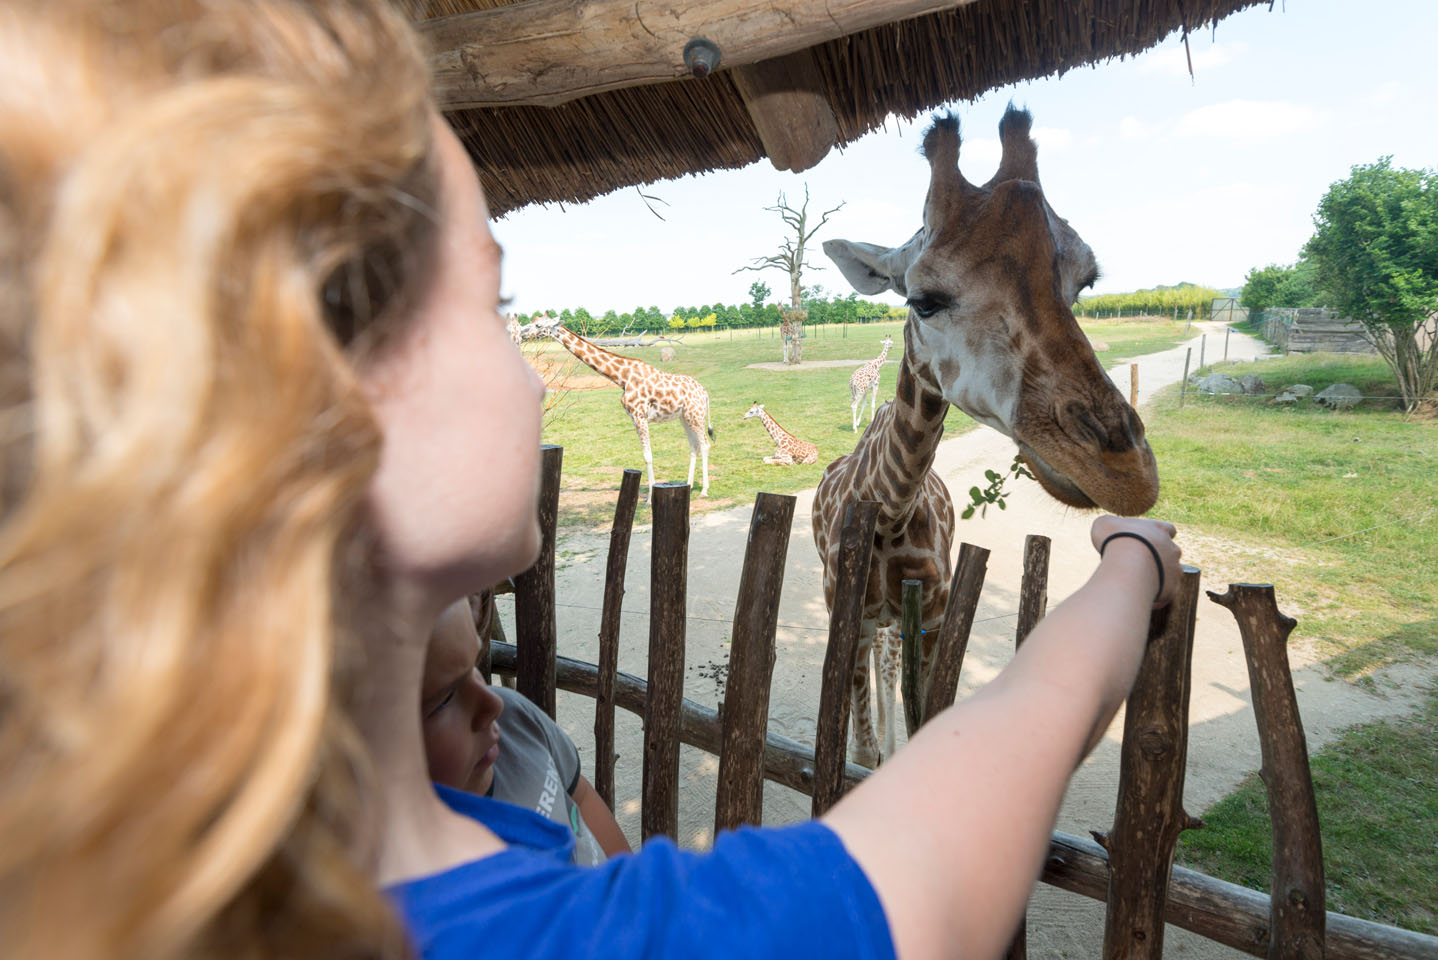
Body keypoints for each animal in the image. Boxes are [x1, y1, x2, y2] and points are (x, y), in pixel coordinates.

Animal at [529, 314, 713, 502]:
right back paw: (689, 486)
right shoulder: (634, 418)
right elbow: (646, 454)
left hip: (696, 415)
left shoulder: (640, 415)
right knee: (694, 446)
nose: (526, 334)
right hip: (684, 417)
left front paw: (649, 499)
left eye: (538, 325)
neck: (622, 378)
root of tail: (704, 392)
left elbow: (648, 456)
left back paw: (704, 490)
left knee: (705, 444)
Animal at [816, 107, 1161, 764]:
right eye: (923, 300)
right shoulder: (847, 616)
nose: (1127, 475)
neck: (889, 512)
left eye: (1084, 282)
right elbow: (861, 753)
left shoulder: (931, 617)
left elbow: (923, 720)